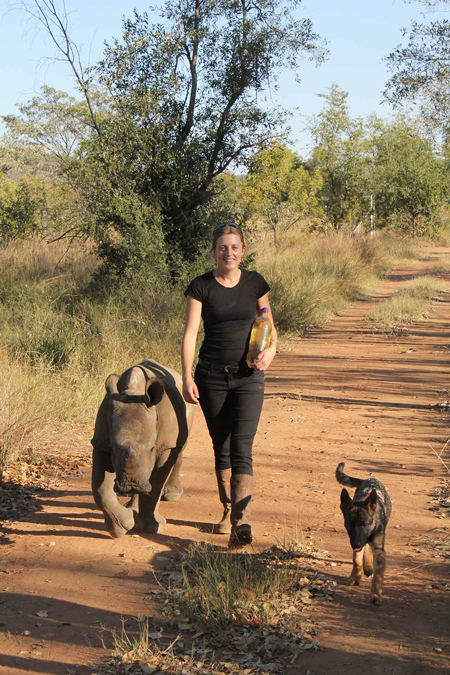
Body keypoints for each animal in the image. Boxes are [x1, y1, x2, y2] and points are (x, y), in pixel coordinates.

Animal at [336, 462, 392, 604]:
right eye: (349, 524)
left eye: (364, 524)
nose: (356, 544)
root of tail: (368, 479)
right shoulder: (356, 541)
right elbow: (357, 561)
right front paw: (355, 577)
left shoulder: (379, 549)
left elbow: (378, 576)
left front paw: (376, 595)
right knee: (365, 548)